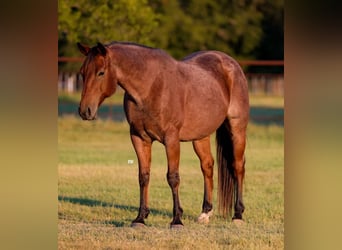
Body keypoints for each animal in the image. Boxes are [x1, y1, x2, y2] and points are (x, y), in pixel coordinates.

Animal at [77, 41, 248, 229]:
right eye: (82, 73)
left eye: (101, 72)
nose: (85, 111)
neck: (150, 87)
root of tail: (230, 63)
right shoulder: (139, 138)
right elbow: (143, 177)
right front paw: (140, 218)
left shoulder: (171, 139)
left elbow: (173, 177)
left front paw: (177, 220)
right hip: (201, 135)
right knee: (207, 166)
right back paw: (205, 213)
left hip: (237, 127)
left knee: (238, 166)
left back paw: (238, 215)